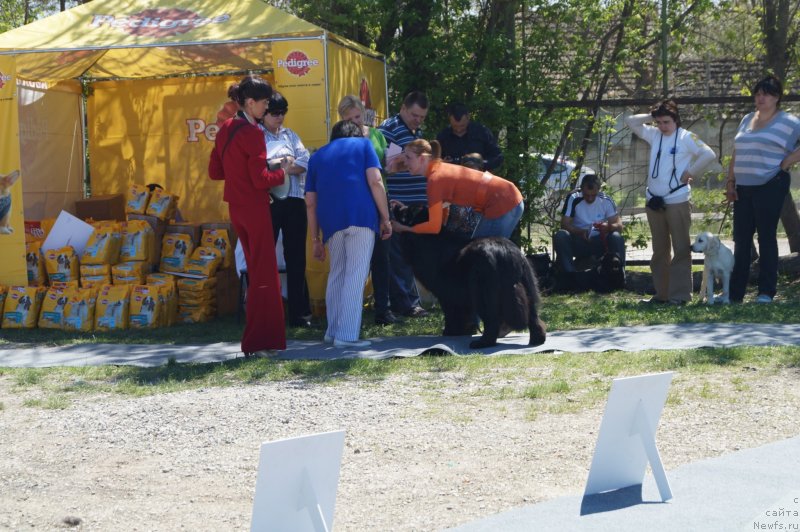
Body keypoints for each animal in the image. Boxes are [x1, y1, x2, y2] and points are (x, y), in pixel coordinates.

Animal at [392, 204, 548, 350]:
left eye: (405, 211)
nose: (394, 204)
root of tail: (507, 252)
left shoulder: (446, 293)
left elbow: (451, 313)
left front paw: (450, 332)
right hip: (527, 286)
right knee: (533, 317)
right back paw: (537, 340)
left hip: (482, 291)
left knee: (492, 320)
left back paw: (482, 343)